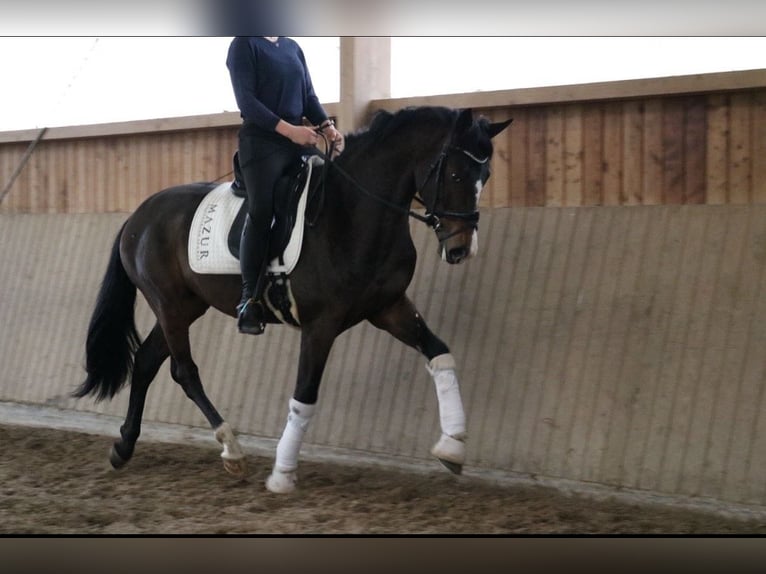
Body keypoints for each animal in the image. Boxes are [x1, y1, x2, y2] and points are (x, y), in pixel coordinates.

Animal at [75, 108, 512, 496]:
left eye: (486, 176)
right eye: (456, 174)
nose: (461, 249)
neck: (354, 213)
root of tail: (138, 216)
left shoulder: (388, 307)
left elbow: (439, 353)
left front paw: (453, 446)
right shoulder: (321, 324)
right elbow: (305, 394)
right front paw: (282, 475)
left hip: (186, 306)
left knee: (147, 361)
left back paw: (123, 447)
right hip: (168, 305)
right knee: (184, 371)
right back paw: (231, 448)